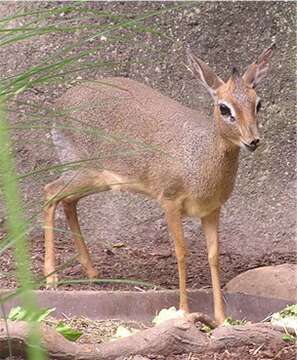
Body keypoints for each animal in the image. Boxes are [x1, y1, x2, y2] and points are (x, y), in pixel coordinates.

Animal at [44, 44, 272, 324]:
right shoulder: (170, 201)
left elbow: (213, 255)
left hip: (96, 180)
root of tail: (59, 105)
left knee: (67, 201)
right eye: (224, 108)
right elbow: (181, 251)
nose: (253, 140)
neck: (199, 159)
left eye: (258, 103)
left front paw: (220, 317)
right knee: (49, 192)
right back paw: (52, 278)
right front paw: (183, 310)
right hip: (82, 171)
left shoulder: (212, 209)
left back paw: (92, 272)